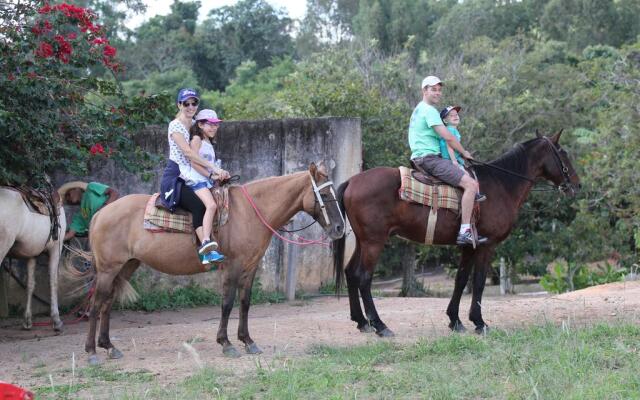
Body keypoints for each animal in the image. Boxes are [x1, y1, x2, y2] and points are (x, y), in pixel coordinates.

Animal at [0, 188, 66, 332]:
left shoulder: (32, 254)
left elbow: (30, 285)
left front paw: (27, 320)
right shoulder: (56, 249)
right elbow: (53, 282)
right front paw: (56, 320)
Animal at [336, 131, 580, 334]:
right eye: (563, 153)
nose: (577, 185)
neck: (501, 185)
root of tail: (351, 181)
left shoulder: (469, 246)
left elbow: (461, 280)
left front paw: (455, 320)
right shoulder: (486, 245)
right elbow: (479, 281)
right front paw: (479, 322)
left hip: (363, 241)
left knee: (351, 272)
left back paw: (361, 321)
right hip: (374, 242)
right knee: (364, 278)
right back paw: (379, 325)